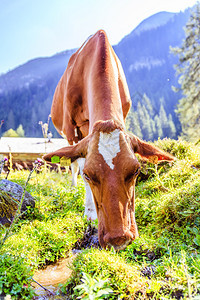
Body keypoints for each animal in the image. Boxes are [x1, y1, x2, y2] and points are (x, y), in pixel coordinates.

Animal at [43, 29, 173, 251]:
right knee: (73, 165)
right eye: (89, 175)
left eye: (136, 170)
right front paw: (89, 213)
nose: (119, 238)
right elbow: (78, 164)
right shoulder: (71, 129)